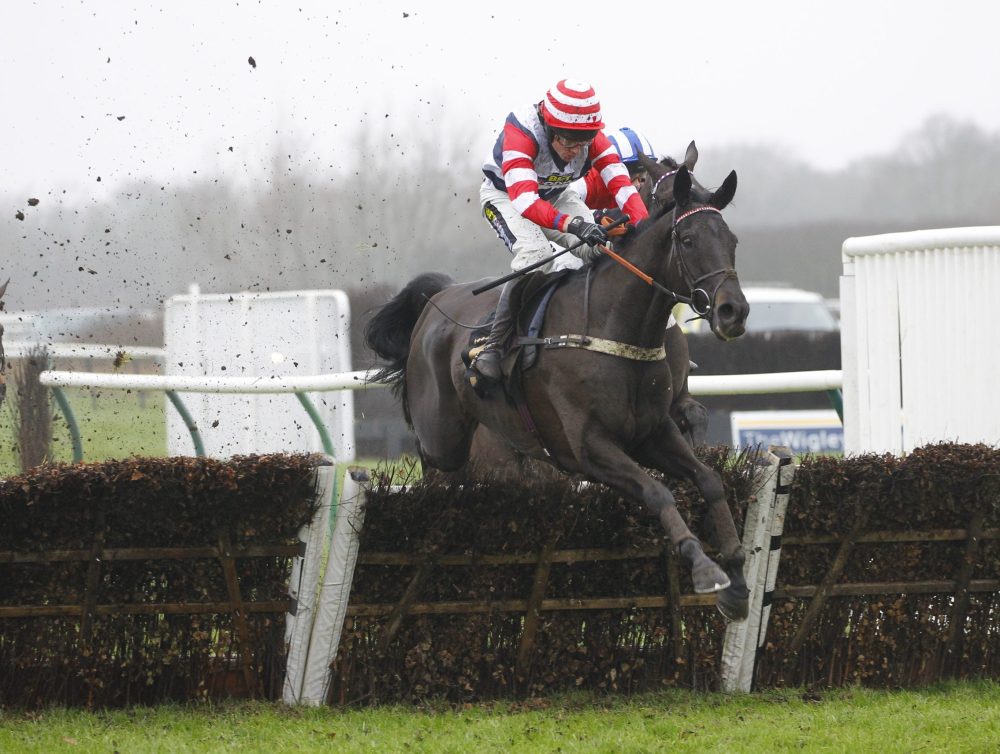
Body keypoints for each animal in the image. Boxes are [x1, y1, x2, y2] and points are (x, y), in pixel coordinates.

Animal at [368, 166, 752, 616]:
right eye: (688, 240)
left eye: (732, 240)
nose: (733, 311)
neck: (612, 327)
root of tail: (437, 298)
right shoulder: (589, 448)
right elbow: (657, 492)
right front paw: (705, 568)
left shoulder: (653, 433)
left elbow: (709, 479)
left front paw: (737, 577)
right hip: (443, 440)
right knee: (436, 469)